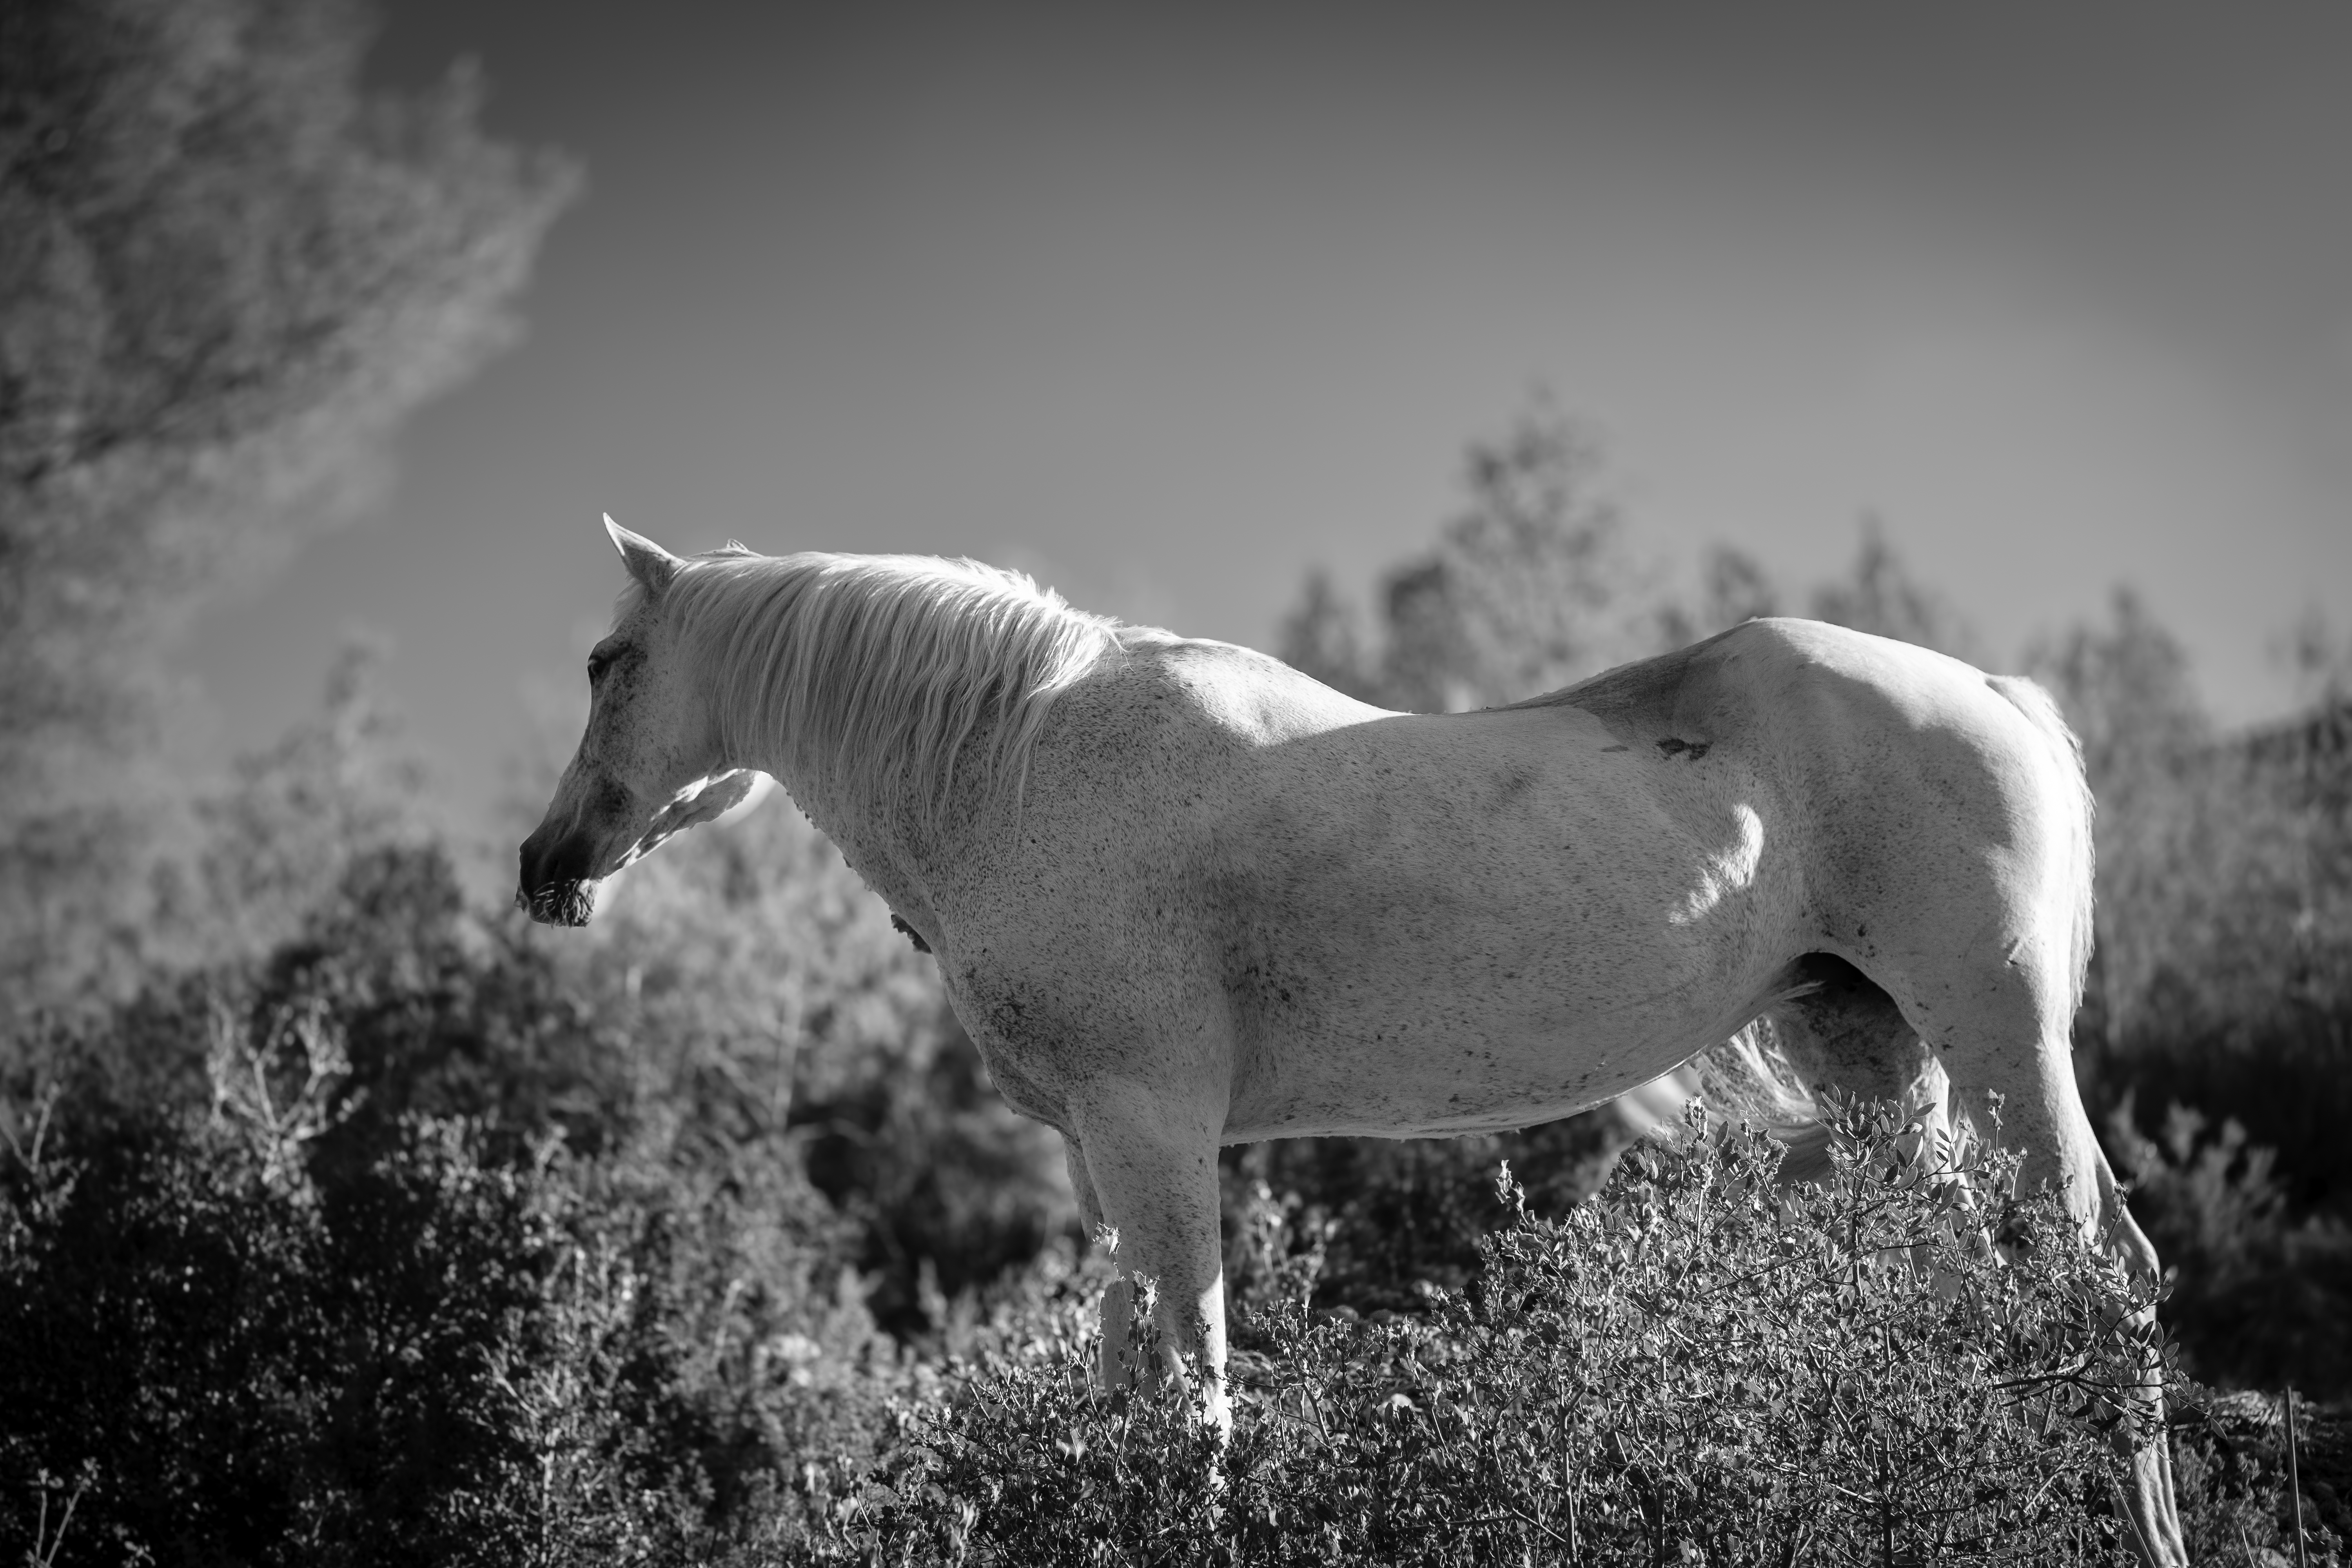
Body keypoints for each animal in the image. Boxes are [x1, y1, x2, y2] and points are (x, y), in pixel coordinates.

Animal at [515, 522, 2183, 1561]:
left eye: (603, 663)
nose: (547, 865)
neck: (1021, 754)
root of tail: (1998, 697)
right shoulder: (1104, 1153)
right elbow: (1129, 1380)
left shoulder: (1153, 1128)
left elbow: (1191, 1391)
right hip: (1875, 1060)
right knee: (1989, 1299)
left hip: (2001, 1043)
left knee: (2105, 1284)